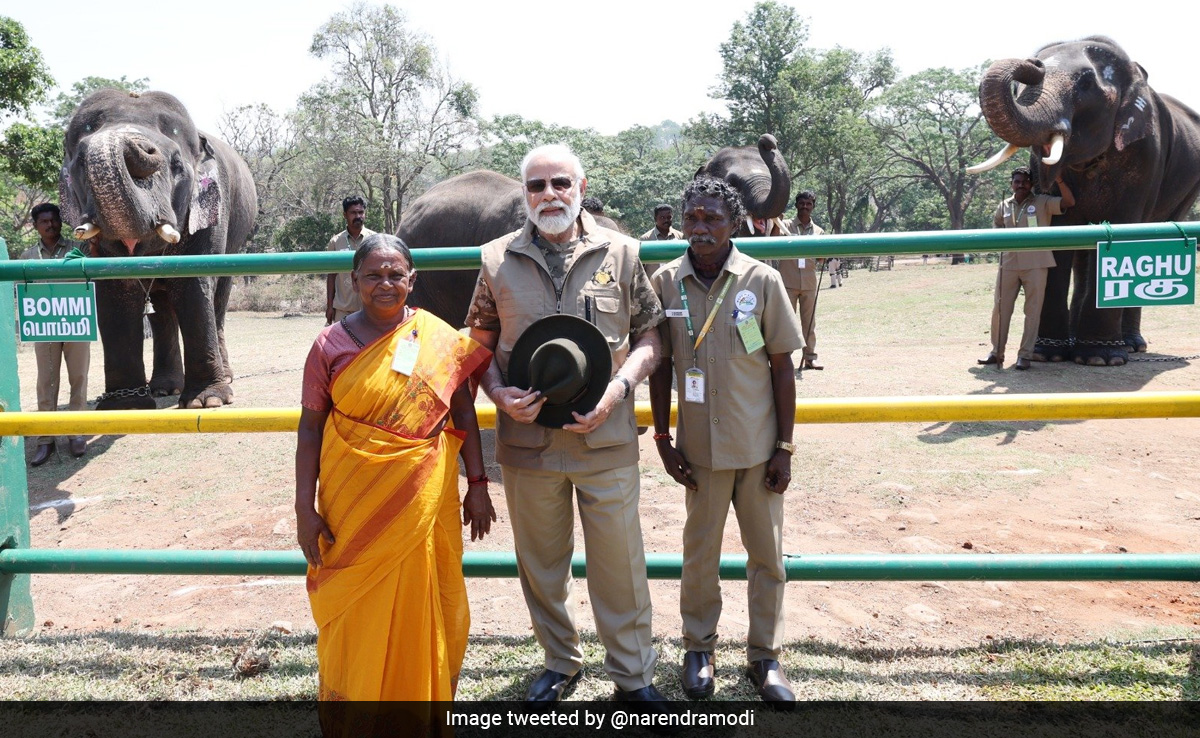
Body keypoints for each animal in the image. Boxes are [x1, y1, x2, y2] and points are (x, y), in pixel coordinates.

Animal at [60, 89, 257, 407]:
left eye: (177, 164)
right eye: (79, 163)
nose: (143, 148)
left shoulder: (212, 210)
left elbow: (195, 285)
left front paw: (207, 401)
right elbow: (116, 291)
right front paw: (124, 406)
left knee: (218, 298)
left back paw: (223, 378)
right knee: (162, 308)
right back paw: (164, 388)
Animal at [972, 36, 1200, 365]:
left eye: (1086, 84)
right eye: (1021, 87)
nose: (1033, 63)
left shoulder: (1144, 158)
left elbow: (1118, 235)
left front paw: (1099, 359)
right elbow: (1057, 237)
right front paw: (1047, 354)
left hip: (1186, 190)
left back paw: (1129, 346)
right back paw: (1074, 343)